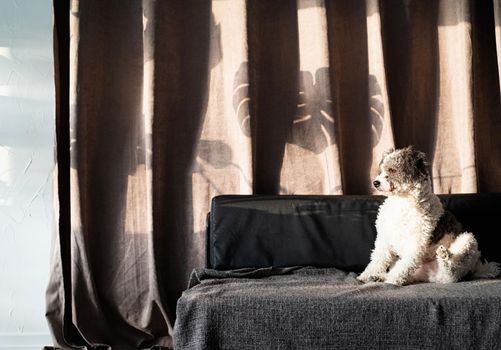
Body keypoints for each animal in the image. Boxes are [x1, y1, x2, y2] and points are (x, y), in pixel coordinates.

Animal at [358, 146, 498, 286]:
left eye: (392, 170)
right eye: (381, 170)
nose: (375, 183)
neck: (402, 201)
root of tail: (476, 268)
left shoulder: (416, 242)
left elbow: (405, 265)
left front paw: (393, 280)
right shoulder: (384, 239)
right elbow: (377, 260)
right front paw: (366, 276)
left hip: (468, 240)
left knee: (451, 274)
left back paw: (444, 256)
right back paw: (380, 277)